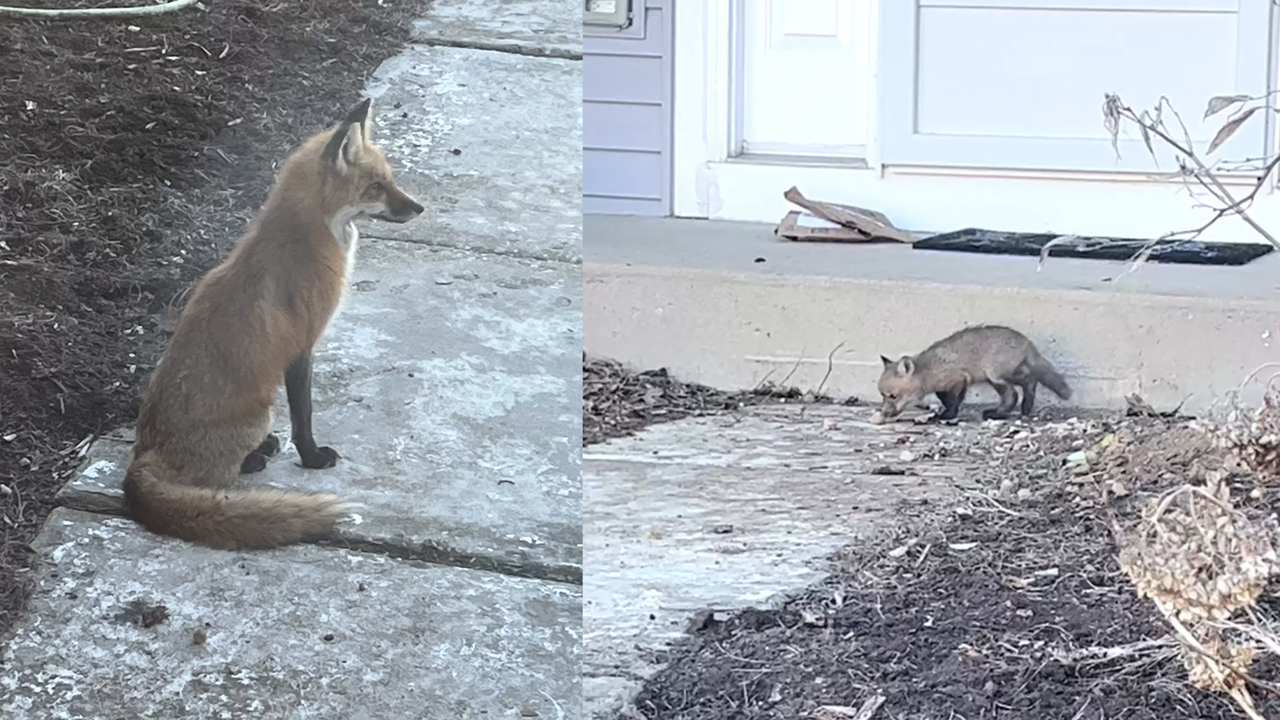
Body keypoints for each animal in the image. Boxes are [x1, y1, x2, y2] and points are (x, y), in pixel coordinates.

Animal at [120, 98, 422, 545]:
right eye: (375, 187)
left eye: (390, 180)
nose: (420, 208)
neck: (309, 236)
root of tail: (143, 456)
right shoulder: (303, 344)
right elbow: (304, 414)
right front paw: (312, 457)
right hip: (261, 412)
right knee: (212, 479)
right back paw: (252, 460)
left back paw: (260, 450)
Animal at [870, 324, 1070, 422]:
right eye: (882, 396)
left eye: (893, 396)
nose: (885, 413)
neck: (929, 371)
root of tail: (1027, 342)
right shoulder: (943, 386)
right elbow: (945, 398)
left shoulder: (959, 379)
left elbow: (953, 402)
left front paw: (948, 415)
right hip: (997, 377)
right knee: (1024, 386)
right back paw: (1021, 408)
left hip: (996, 375)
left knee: (1019, 389)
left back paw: (1006, 411)